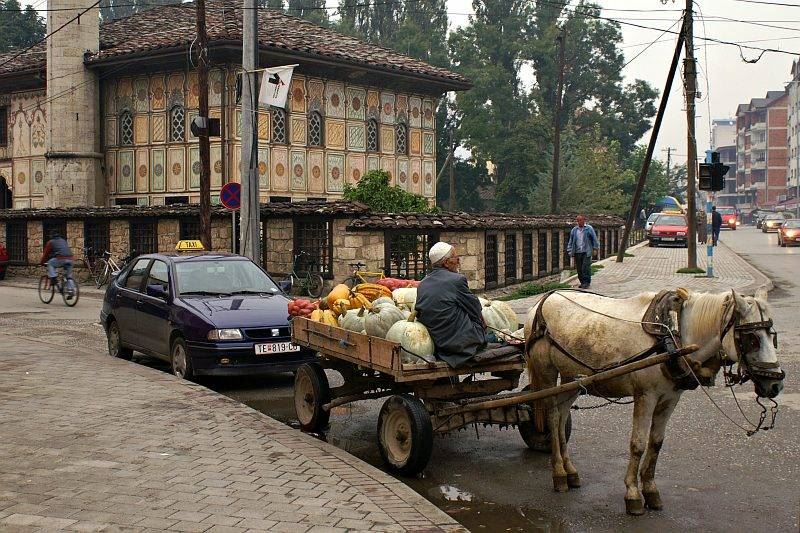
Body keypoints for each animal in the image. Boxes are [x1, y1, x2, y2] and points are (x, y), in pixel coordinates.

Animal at [520, 286, 784, 516]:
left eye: (773, 337)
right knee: (553, 418)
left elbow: (656, 443)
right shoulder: (645, 397)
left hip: (572, 379)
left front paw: (651, 491)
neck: (672, 337)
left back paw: (570, 471)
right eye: (752, 338)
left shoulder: (670, 399)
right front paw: (633, 494)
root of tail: (542, 301)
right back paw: (558, 473)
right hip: (546, 374)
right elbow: (637, 444)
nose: (776, 385)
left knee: (562, 417)